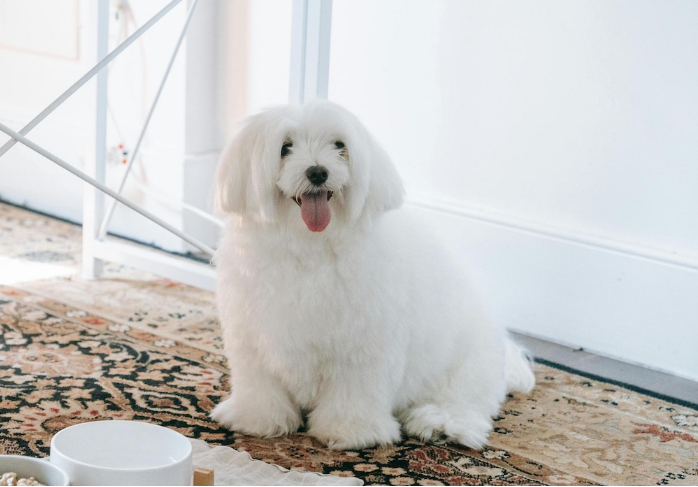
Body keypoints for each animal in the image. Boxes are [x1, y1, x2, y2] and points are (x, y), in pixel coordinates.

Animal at [211, 100, 535, 450]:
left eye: (340, 146)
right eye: (285, 148)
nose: (318, 172)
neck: (310, 245)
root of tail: (506, 351)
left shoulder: (363, 344)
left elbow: (356, 390)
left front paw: (350, 431)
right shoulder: (252, 337)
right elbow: (260, 386)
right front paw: (257, 419)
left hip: (465, 367)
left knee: (466, 401)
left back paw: (441, 423)